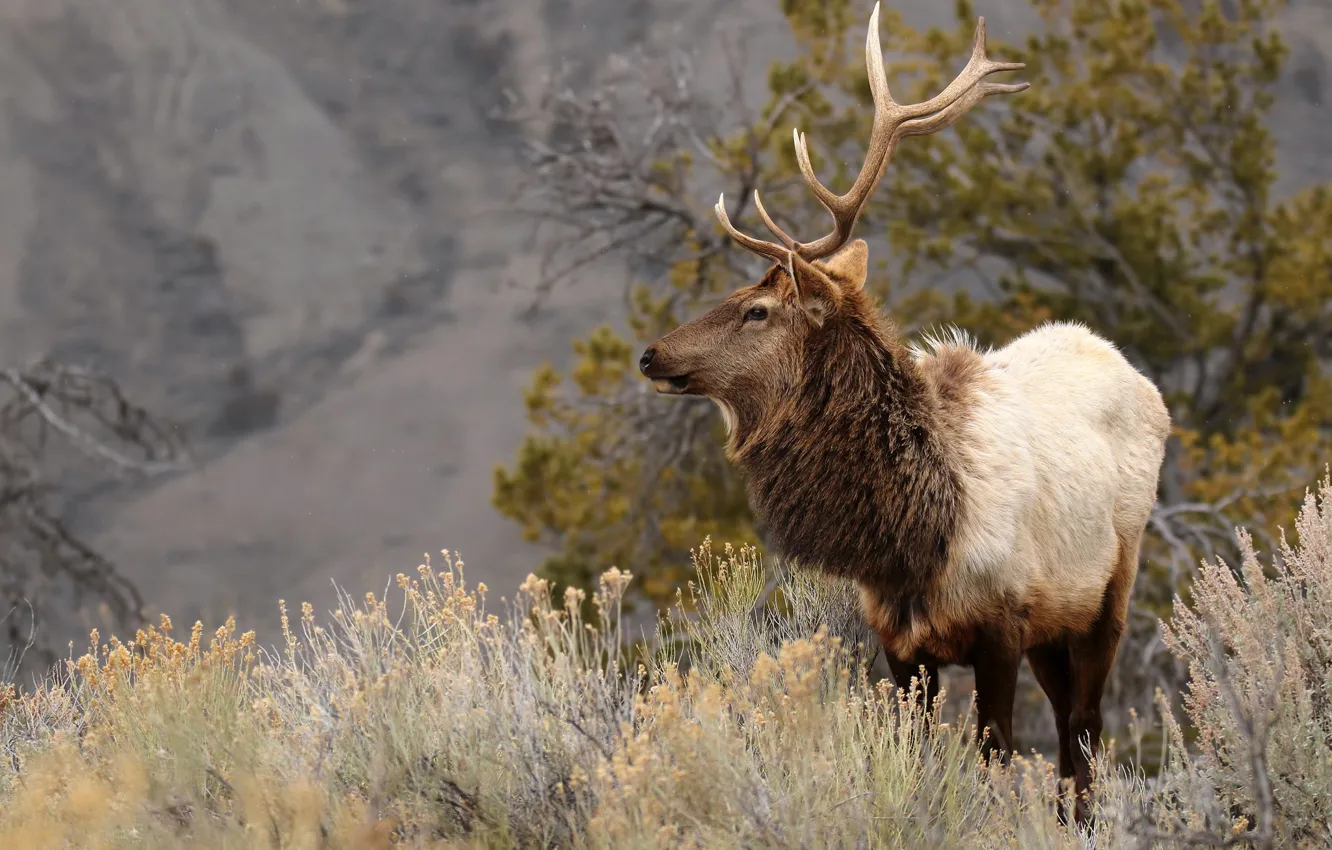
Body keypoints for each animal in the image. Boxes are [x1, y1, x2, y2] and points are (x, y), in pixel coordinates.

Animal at [637, 2, 1170, 827]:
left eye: (757, 310)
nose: (652, 354)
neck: (911, 538)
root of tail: (1133, 372)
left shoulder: (1002, 621)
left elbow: (993, 753)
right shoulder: (900, 640)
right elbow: (919, 758)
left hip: (1112, 580)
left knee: (1084, 725)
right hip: (1056, 620)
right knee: (1069, 726)